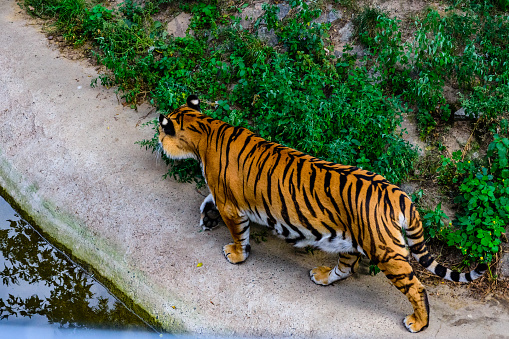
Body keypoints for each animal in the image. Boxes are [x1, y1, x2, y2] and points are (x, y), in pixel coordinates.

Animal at [156, 94, 488, 334]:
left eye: (161, 132)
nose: (158, 143)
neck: (205, 128)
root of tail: (398, 192)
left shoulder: (230, 204)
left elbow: (238, 232)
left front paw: (236, 254)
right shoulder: (223, 196)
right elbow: (208, 201)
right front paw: (207, 218)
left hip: (386, 251)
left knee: (416, 286)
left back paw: (418, 323)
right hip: (353, 240)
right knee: (347, 267)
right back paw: (323, 276)